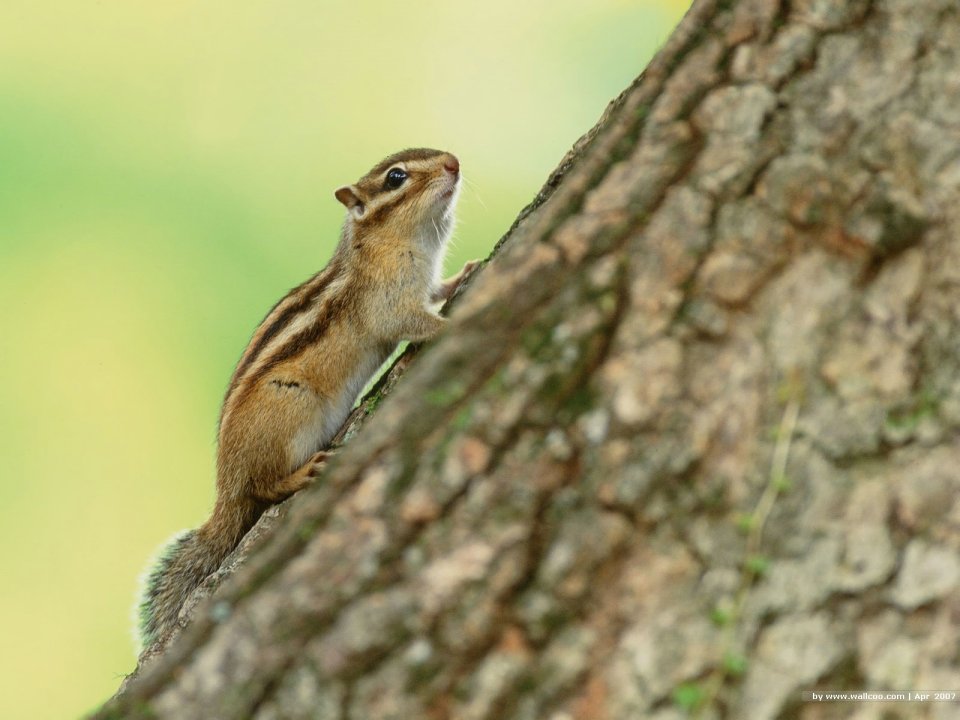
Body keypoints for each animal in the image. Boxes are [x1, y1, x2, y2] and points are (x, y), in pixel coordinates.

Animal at [136, 148, 477, 651]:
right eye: (396, 178)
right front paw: (452, 323)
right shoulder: (387, 301)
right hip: (291, 410)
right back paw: (300, 475)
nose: (453, 161)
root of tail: (226, 486)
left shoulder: (421, 283)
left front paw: (465, 275)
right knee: (262, 487)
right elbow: (412, 322)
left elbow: (437, 291)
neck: (395, 242)